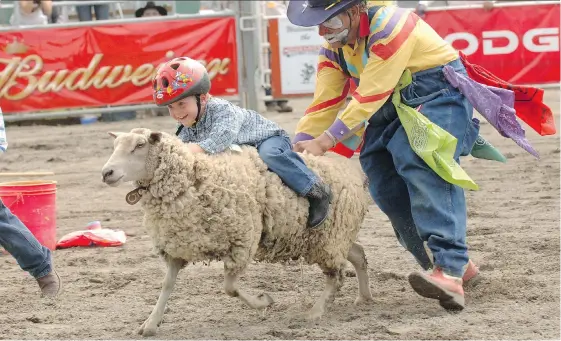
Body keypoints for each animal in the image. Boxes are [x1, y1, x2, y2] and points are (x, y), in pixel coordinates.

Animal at [100, 128, 374, 338]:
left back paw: (316, 311)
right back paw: (364, 298)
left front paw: (263, 301)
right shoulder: (177, 245)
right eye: (114, 145)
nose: (106, 173)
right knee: (358, 255)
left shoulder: (242, 242)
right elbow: (166, 285)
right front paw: (150, 323)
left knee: (335, 275)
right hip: (332, 236)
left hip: (330, 236)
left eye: (140, 145)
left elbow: (230, 288)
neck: (193, 177)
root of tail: (353, 169)